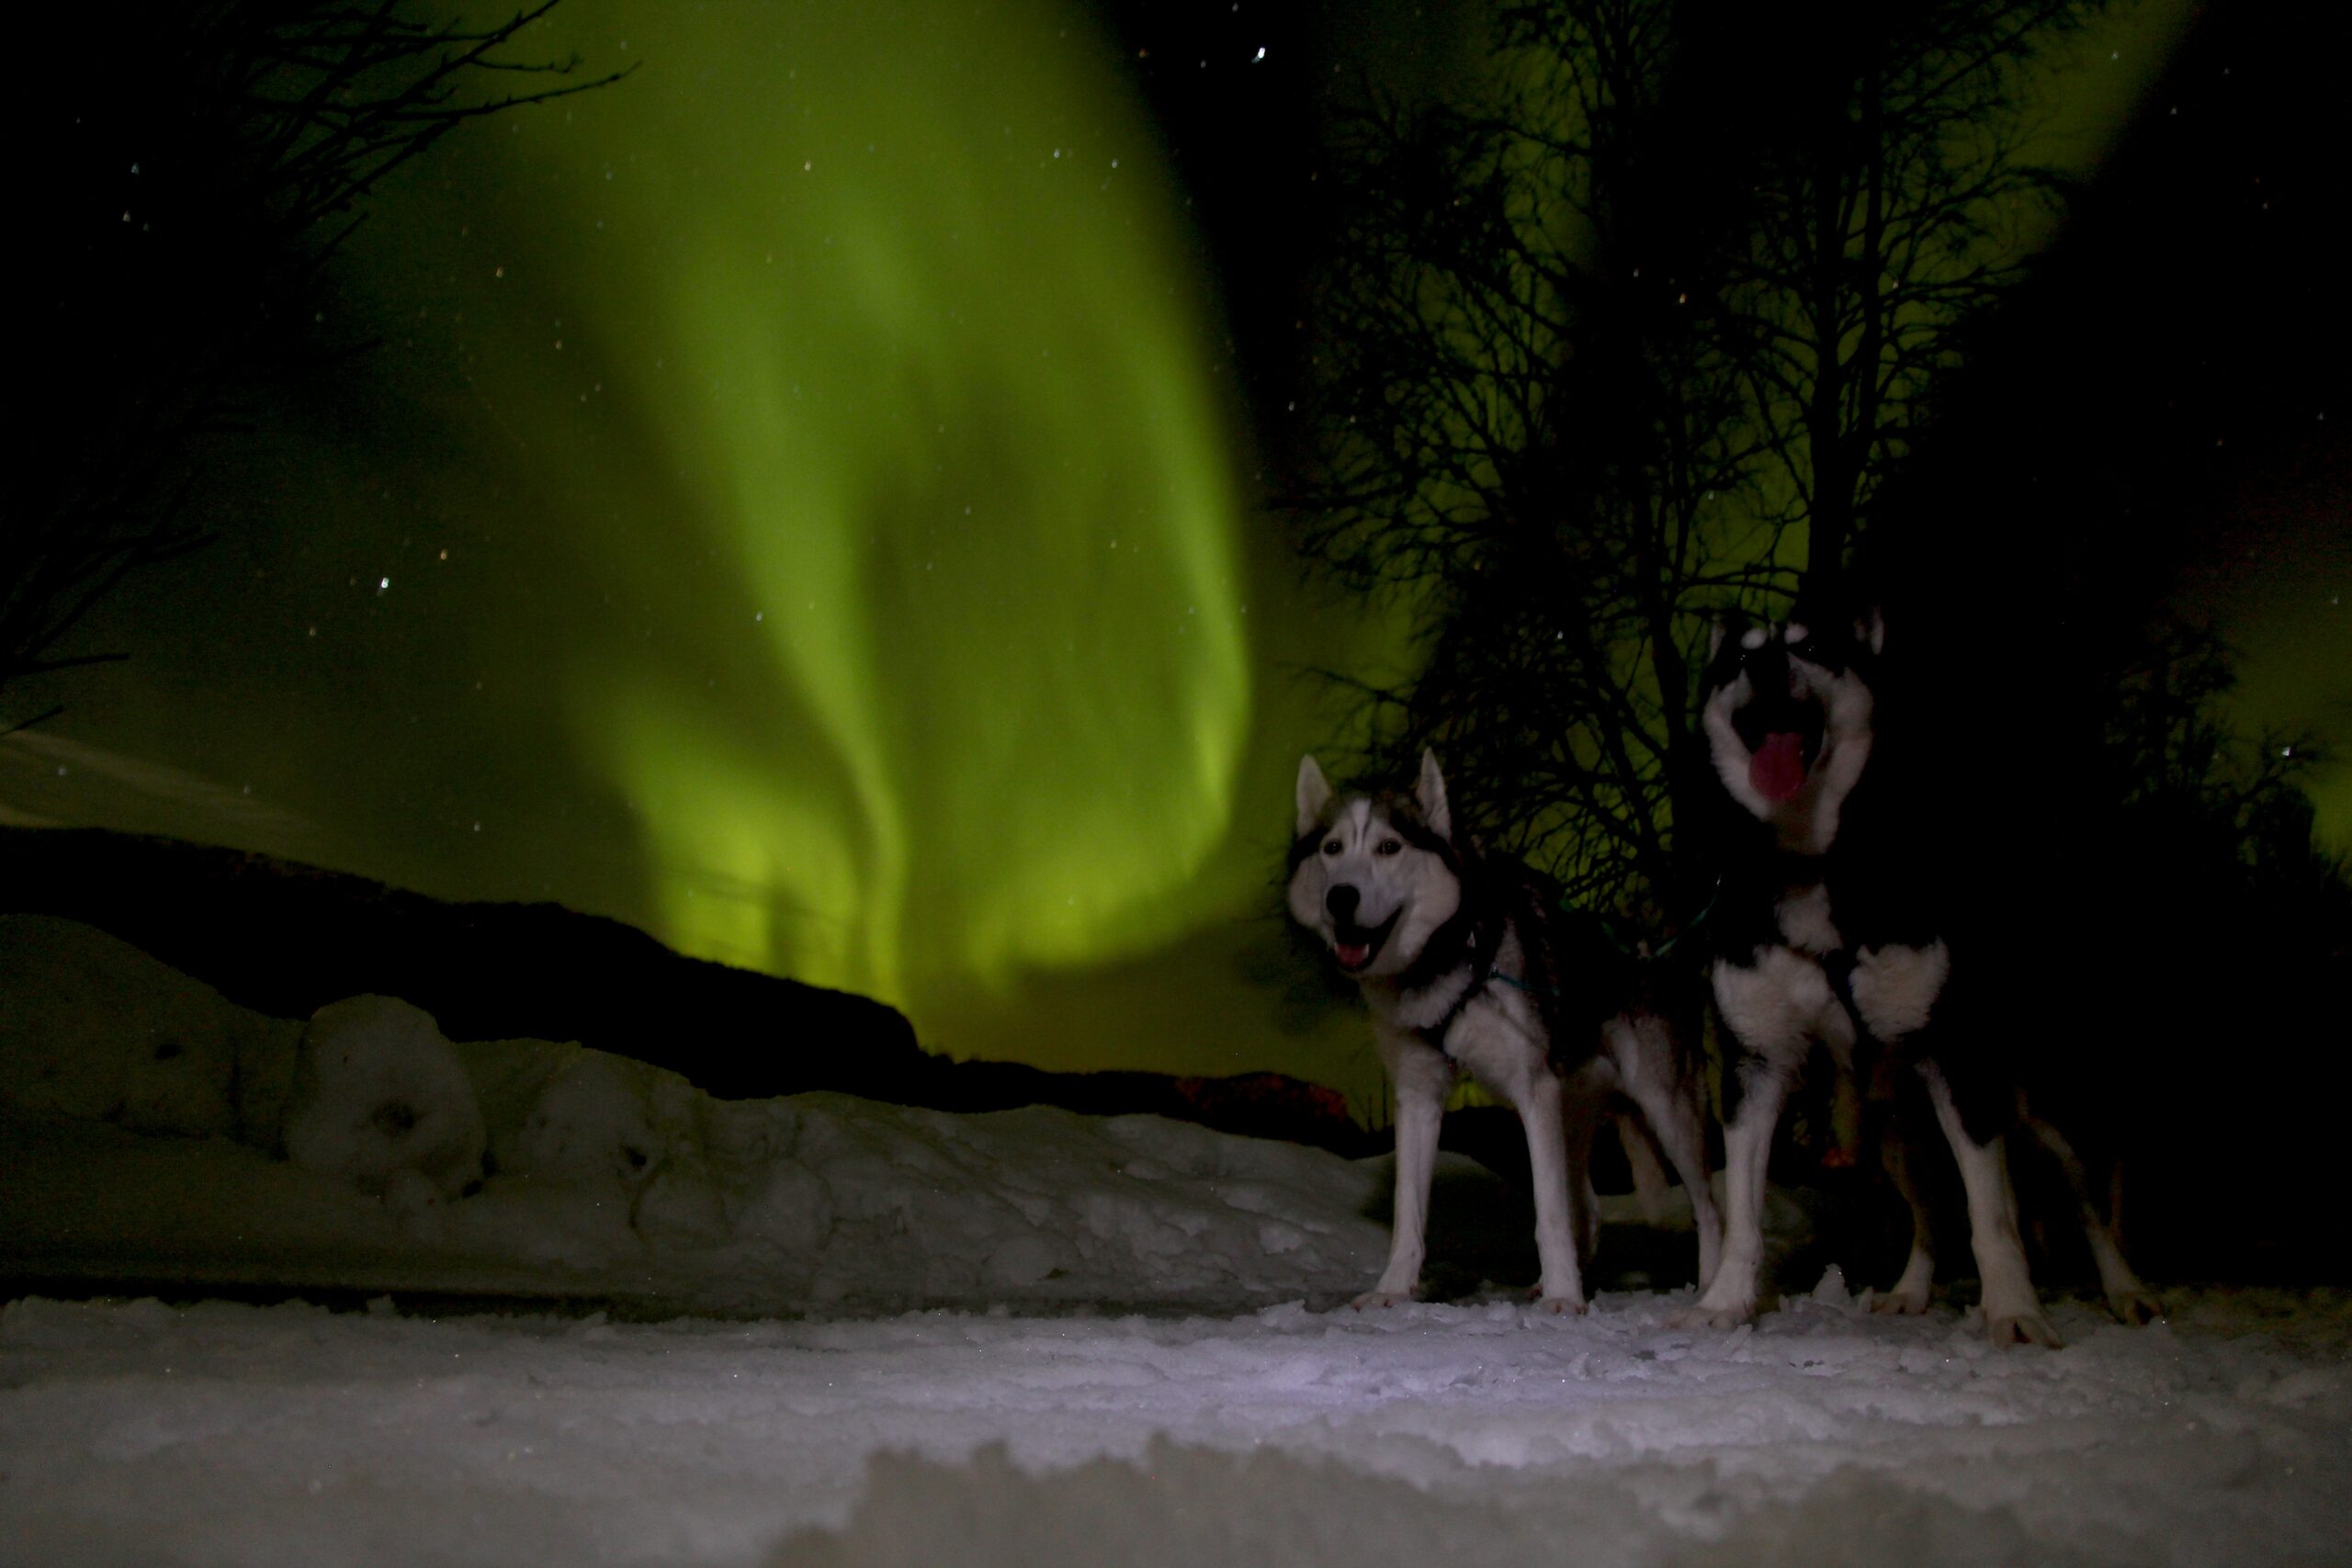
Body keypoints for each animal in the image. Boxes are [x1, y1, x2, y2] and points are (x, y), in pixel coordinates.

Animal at [1298, 747, 1721, 1316]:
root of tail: (1651, 948)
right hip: (1573, 1114)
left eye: (1389, 847)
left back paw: (1709, 1285)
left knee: (1708, 1208)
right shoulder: (1419, 1095)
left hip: (1666, 1108)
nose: (1341, 897)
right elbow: (1409, 1214)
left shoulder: (1533, 1090)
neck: (1449, 960)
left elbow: (1550, 1214)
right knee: (1588, 1207)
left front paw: (1565, 1298)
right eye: (1332, 848)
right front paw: (1394, 1289)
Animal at [1683, 606, 2154, 1344]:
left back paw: (2123, 1289)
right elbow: (1744, 1215)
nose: (1765, 666)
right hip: (1896, 1126)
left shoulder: (1953, 1057)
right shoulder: (1755, 1061)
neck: (1814, 862)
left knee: (2076, 1198)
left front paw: (2014, 1311)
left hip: (2027, 1107)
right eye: (1738, 660)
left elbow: (1993, 1215)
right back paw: (1911, 1289)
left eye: (1811, 647)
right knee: (1932, 1207)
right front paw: (1726, 1300)